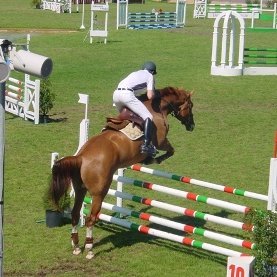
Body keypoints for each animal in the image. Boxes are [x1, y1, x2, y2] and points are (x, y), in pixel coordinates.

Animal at [48, 85, 194, 258]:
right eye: (190, 106)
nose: (192, 126)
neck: (157, 108)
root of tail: (81, 157)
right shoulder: (161, 141)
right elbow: (171, 150)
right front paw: (153, 159)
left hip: (80, 189)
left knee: (76, 214)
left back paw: (76, 246)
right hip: (99, 193)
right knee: (90, 218)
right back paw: (89, 248)